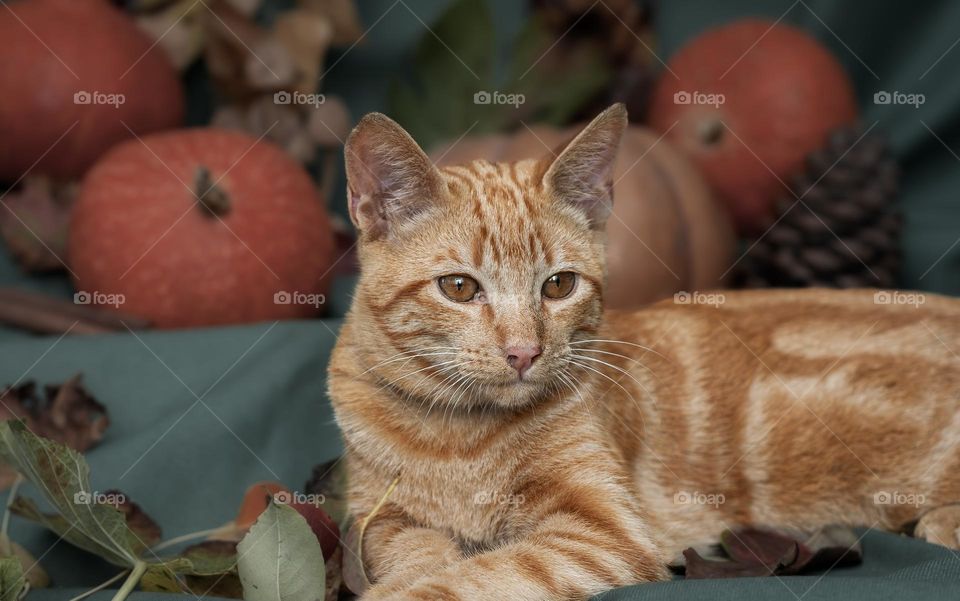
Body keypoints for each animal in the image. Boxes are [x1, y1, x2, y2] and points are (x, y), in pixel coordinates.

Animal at [328, 105, 960, 596]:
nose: (524, 352)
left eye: (559, 285)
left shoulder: (603, 534)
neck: (458, 438)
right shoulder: (375, 517)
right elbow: (416, 552)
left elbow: (474, 576)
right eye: (459, 287)